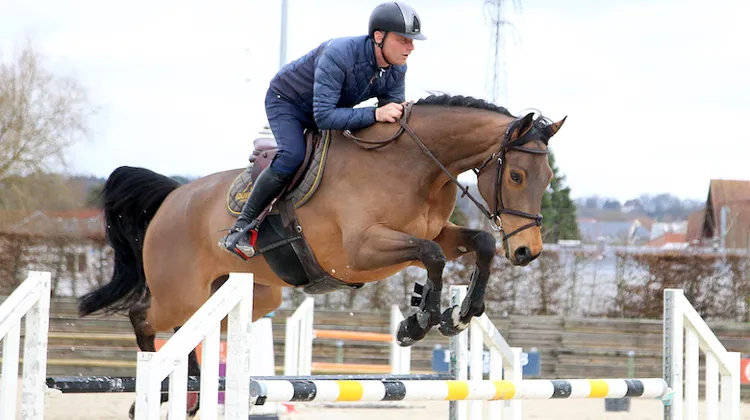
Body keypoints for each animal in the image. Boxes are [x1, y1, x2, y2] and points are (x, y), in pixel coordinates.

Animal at [77, 94, 565, 418]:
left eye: (547, 178)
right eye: (517, 175)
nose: (527, 251)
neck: (414, 165)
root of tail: (171, 197)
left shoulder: (435, 234)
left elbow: (476, 245)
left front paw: (459, 313)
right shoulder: (360, 250)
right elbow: (431, 257)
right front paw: (419, 321)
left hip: (252, 296)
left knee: (193, 328)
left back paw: (194, 391)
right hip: (178, 292)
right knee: (144, 317)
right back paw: (161, 394)